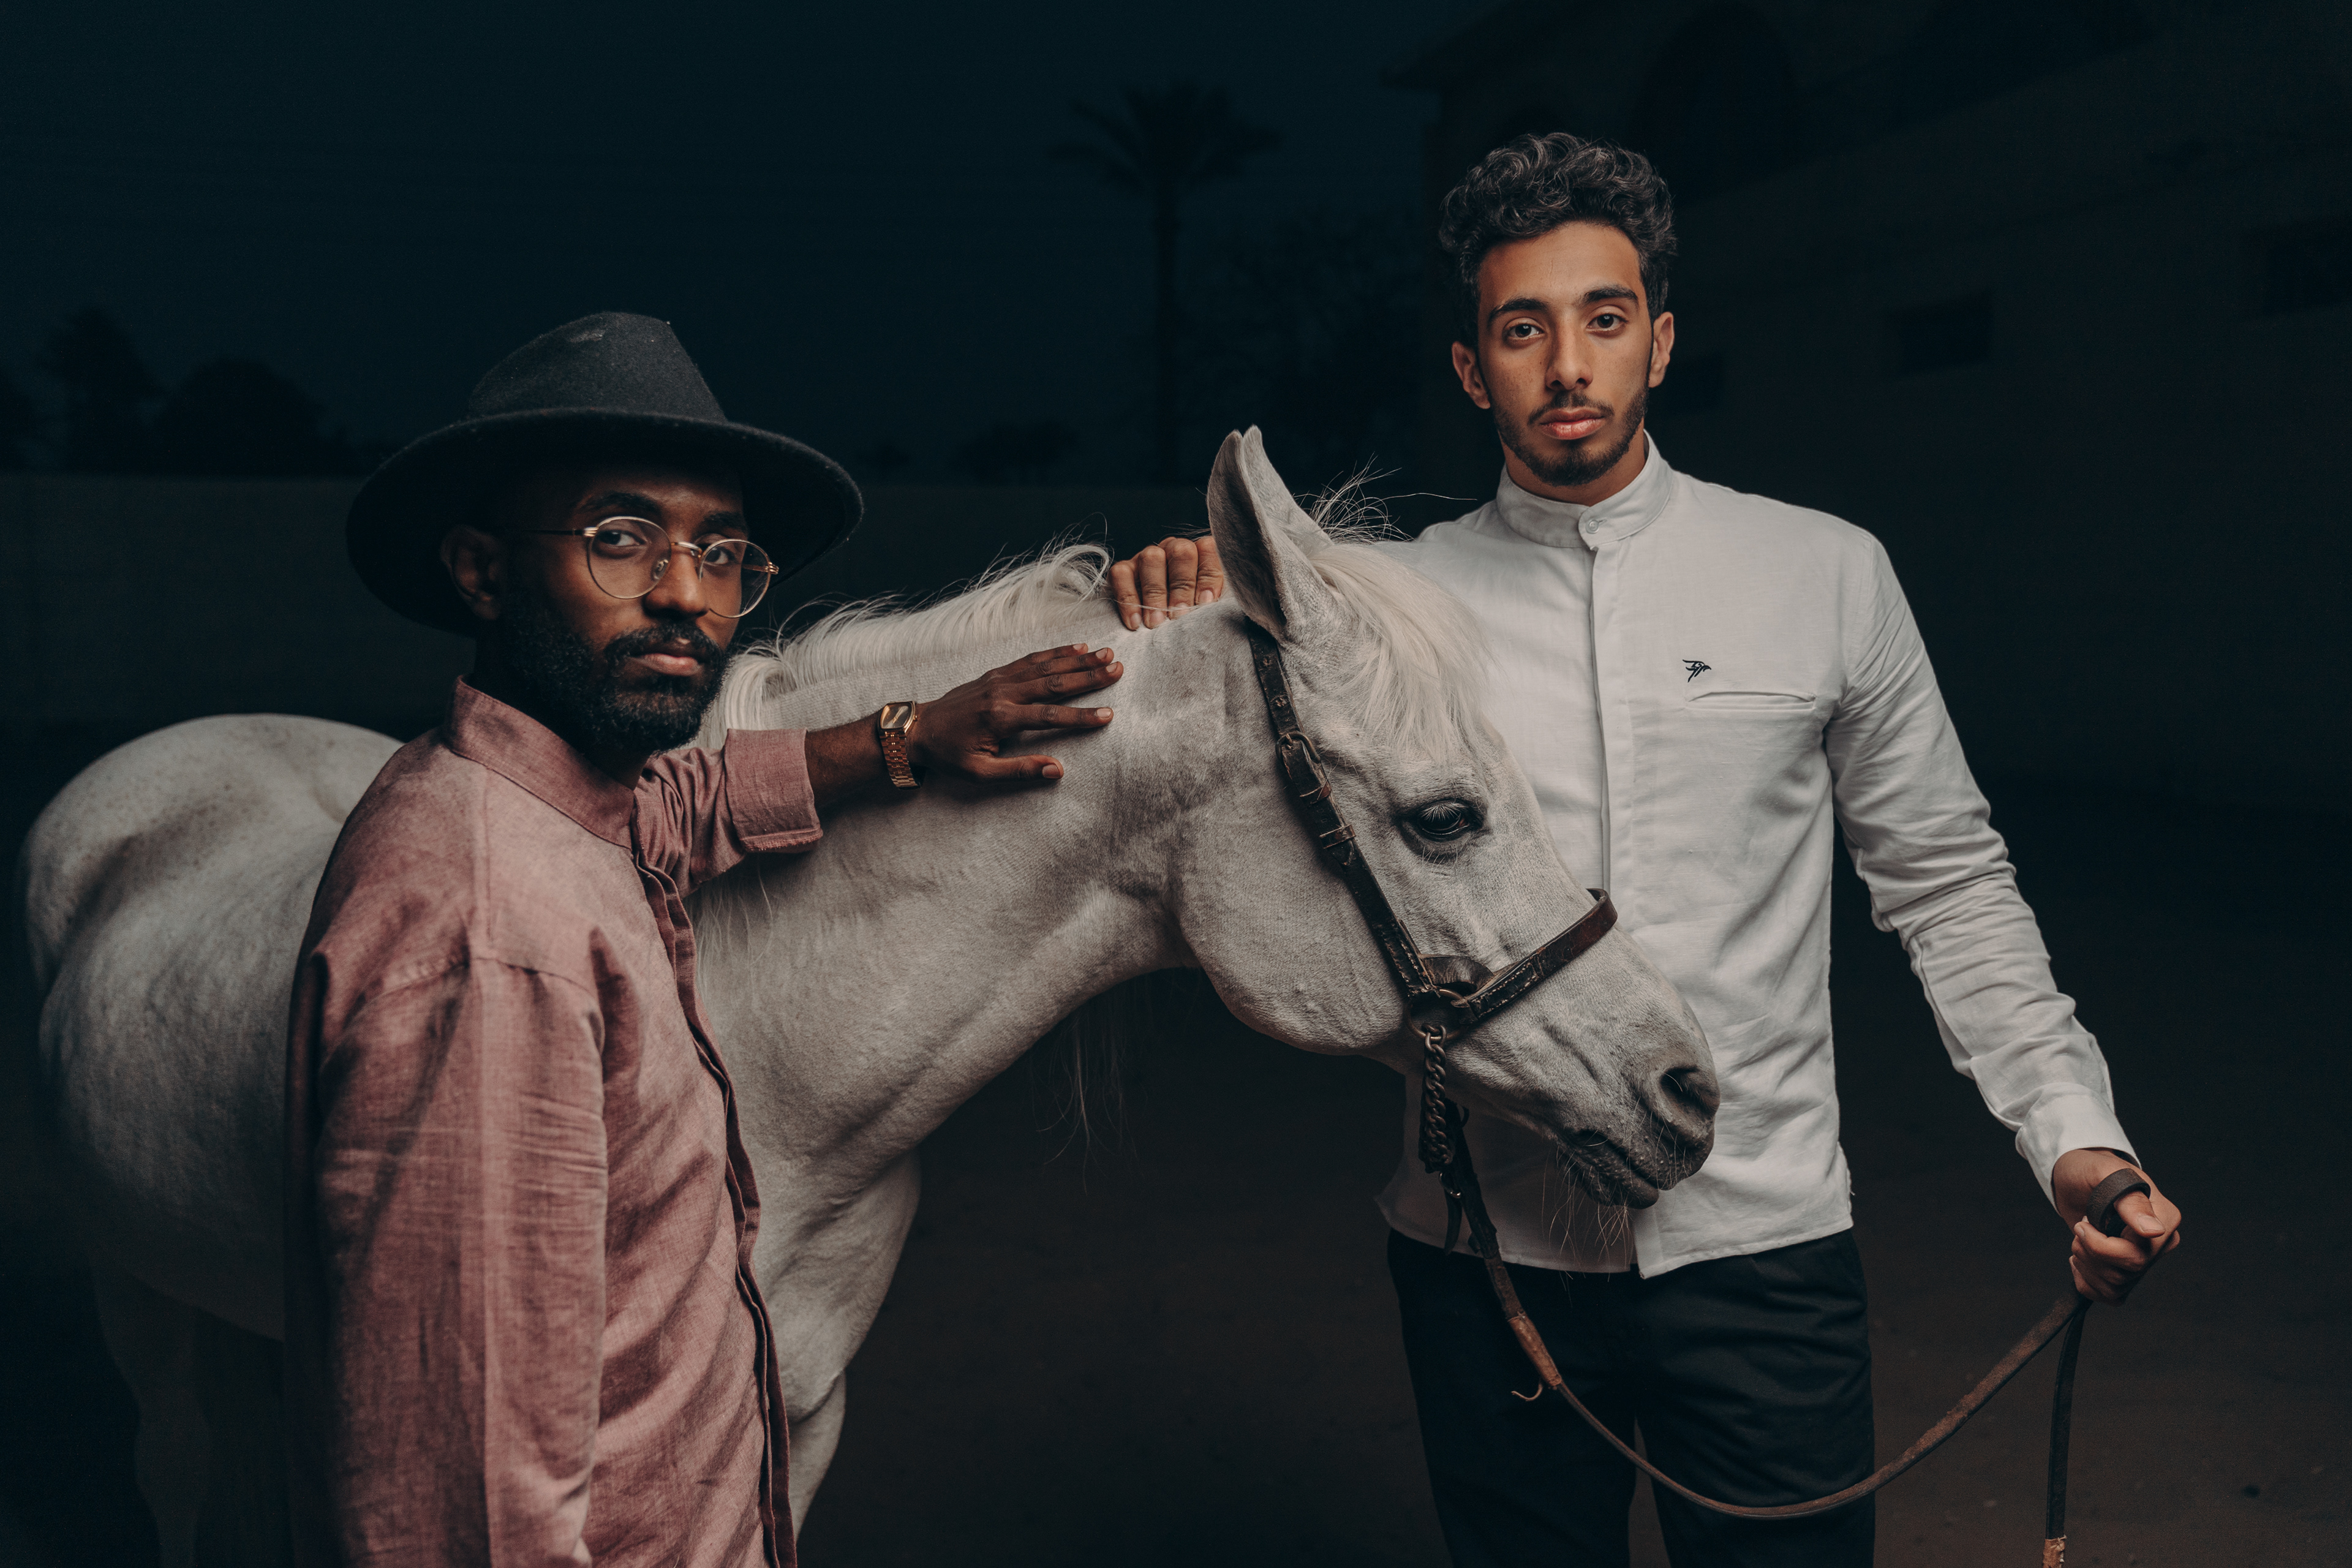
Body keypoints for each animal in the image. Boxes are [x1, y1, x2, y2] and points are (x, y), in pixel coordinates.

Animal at [16, 429, 1715, 1563]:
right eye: (1445, 816)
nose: (1686, 1087)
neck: (764, 1050)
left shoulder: (800, 1411)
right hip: (126, 1288)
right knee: (175, 1460)